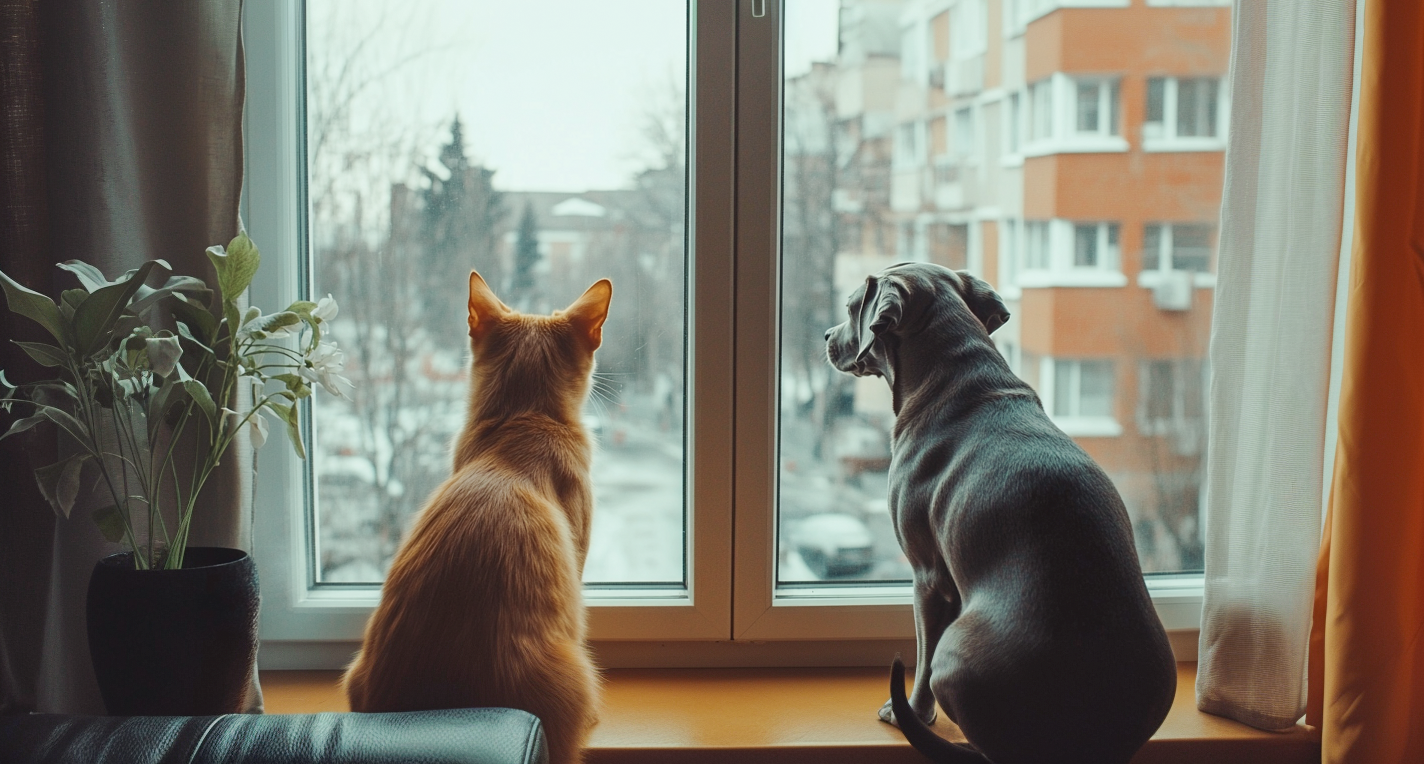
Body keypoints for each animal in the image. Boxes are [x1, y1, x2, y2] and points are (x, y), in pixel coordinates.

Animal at [831, 263, 1173, 762]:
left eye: (852, 306)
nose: (826, 336)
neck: (957, 375)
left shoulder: (929, 578)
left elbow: (921, 659)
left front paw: (909, 713)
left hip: (953, 652)